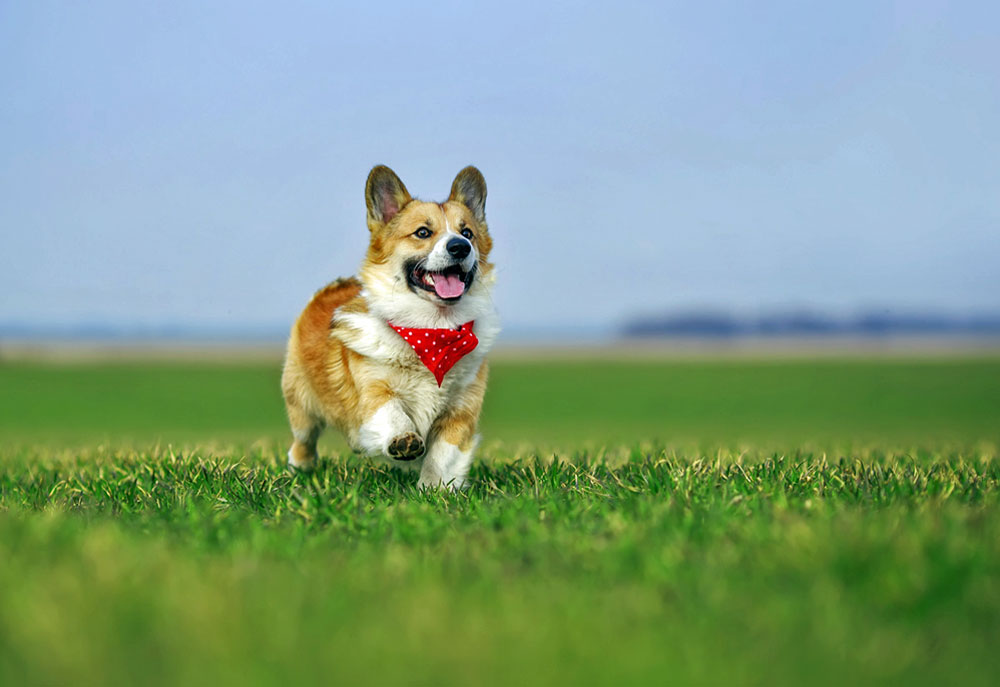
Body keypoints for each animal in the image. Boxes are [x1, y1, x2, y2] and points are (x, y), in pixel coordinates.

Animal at [280, 166, 498, 490]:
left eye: (467, 232)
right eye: (423, 232)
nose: (460, 247)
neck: (432, 330)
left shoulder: (461, 410)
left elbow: (442, 455)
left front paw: (433, 490)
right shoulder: (373, 391)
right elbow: (391, 410)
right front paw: (403, 440)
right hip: (302, 405)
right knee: (303, 440)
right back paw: (301, 468)